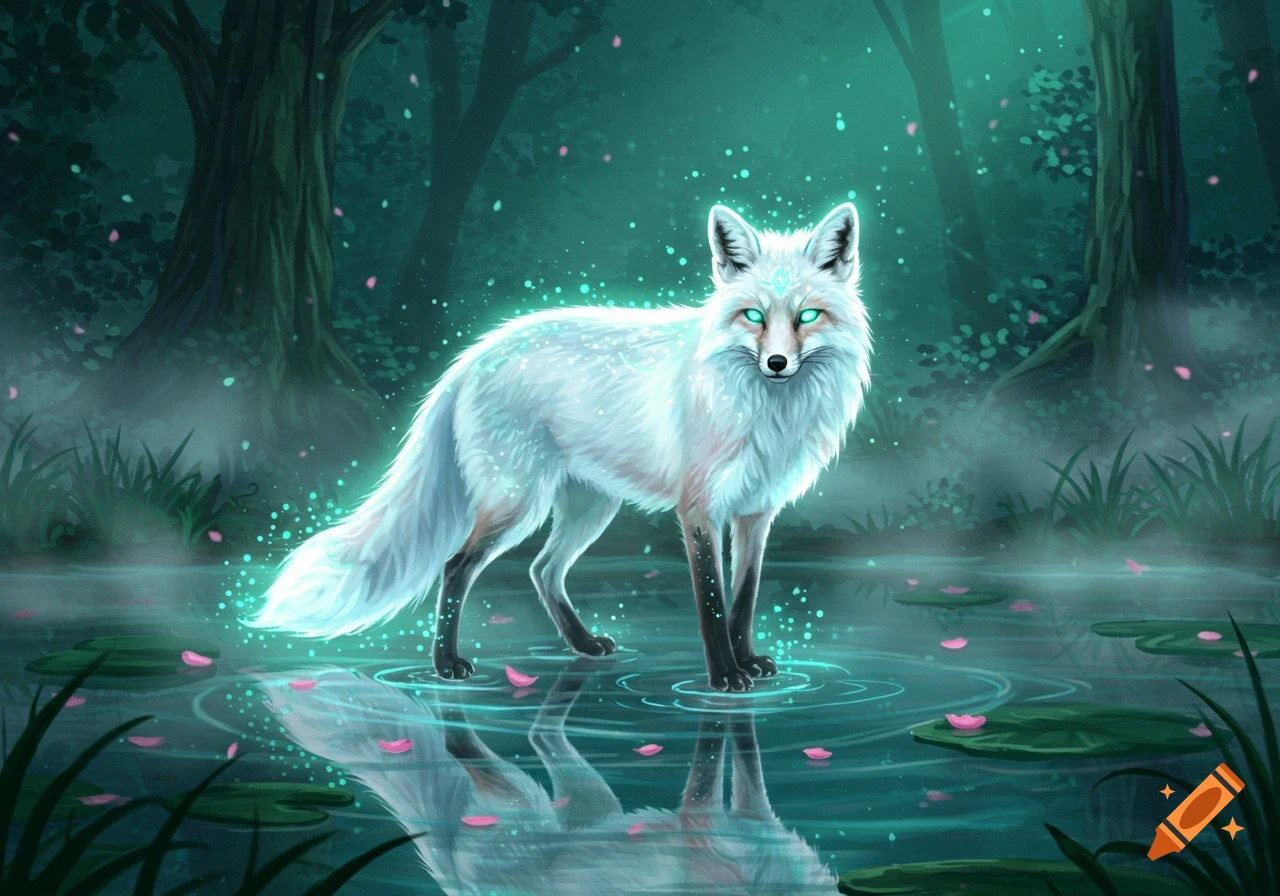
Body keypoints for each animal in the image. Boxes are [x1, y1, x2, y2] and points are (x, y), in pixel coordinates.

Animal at [248, 201, 872, 692]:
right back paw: (447, 663)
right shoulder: (699, 510)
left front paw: (747, 661)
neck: (767, 413)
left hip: (589, 508)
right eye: (753, 316)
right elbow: (713, 605)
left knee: (542, 571)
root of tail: (473, 356)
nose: (777, 363)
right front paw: (723, 676)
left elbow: (744, 601)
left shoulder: (756, 513)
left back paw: (582, 647)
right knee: (456, 566)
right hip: (518, 505)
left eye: (807, 316)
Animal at [254, 663, 838, 895]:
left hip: (590, 796)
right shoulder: (707, 827)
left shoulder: (756, 818)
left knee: (540, 735)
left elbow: (749, 766)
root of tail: (453, 880)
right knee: (463, 744)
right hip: (519, 798)